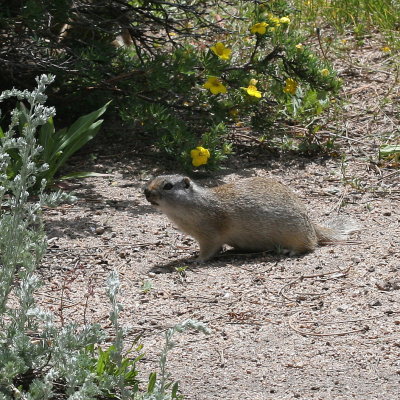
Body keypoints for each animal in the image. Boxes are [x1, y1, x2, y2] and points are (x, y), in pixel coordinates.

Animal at [145, 173, 360, 260]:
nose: (145, 191)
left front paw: (197, 259)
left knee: (310, 245)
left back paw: (291, 251)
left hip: (297, 234)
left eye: (168, 186)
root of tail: (311, 224)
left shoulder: (209, 234)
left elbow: (209, 249)